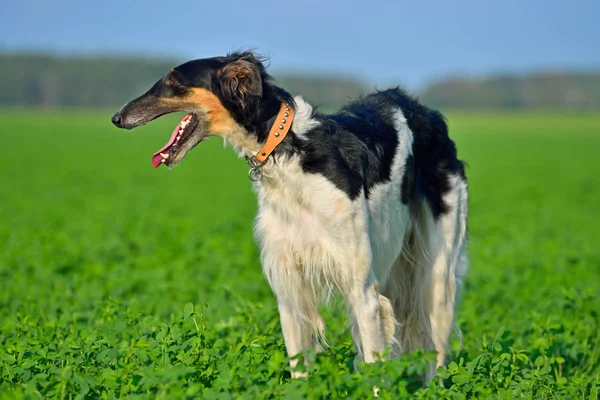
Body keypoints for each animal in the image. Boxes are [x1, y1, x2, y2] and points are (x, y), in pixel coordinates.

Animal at [112, 50, 468, 382]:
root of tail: (424, 110)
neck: (288, 150)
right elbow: (300, 368)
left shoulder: (362, 289)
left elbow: (371, 368)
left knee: (435, 348)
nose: (117, 117)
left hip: (437, 273)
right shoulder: (288, 286)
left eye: (173, 79)